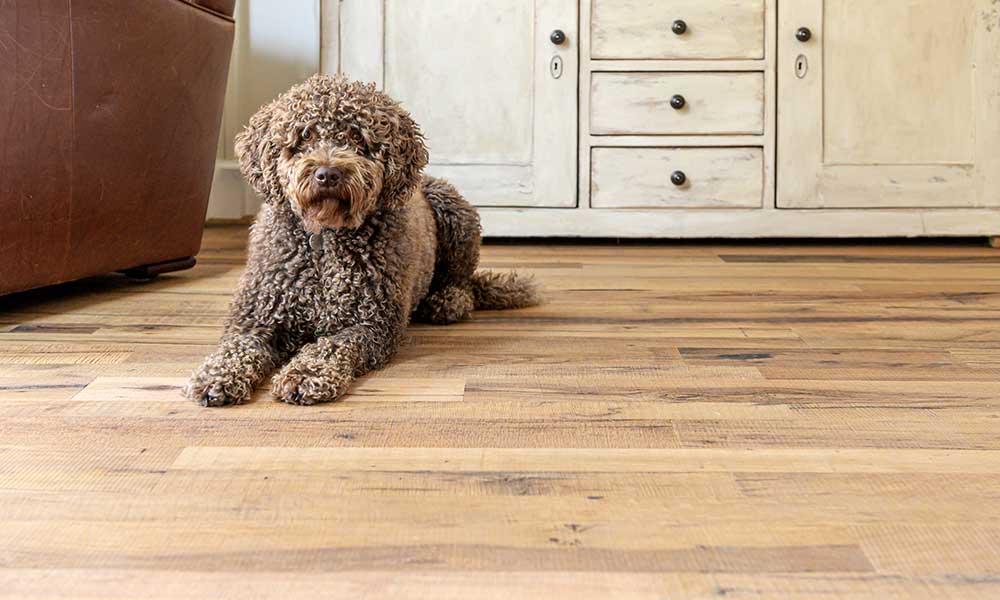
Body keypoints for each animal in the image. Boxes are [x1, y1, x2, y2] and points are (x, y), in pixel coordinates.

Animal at [183, 72, 536, 406]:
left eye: (356, 136)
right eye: (305, 135)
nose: (327, 174)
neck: (324, 241)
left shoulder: (370, 323)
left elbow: (331, 346)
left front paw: (306, 374)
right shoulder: (256, 318)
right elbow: (237, 347)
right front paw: (216, 376)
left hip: (452, 209)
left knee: (462, 282)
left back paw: (447, 301)